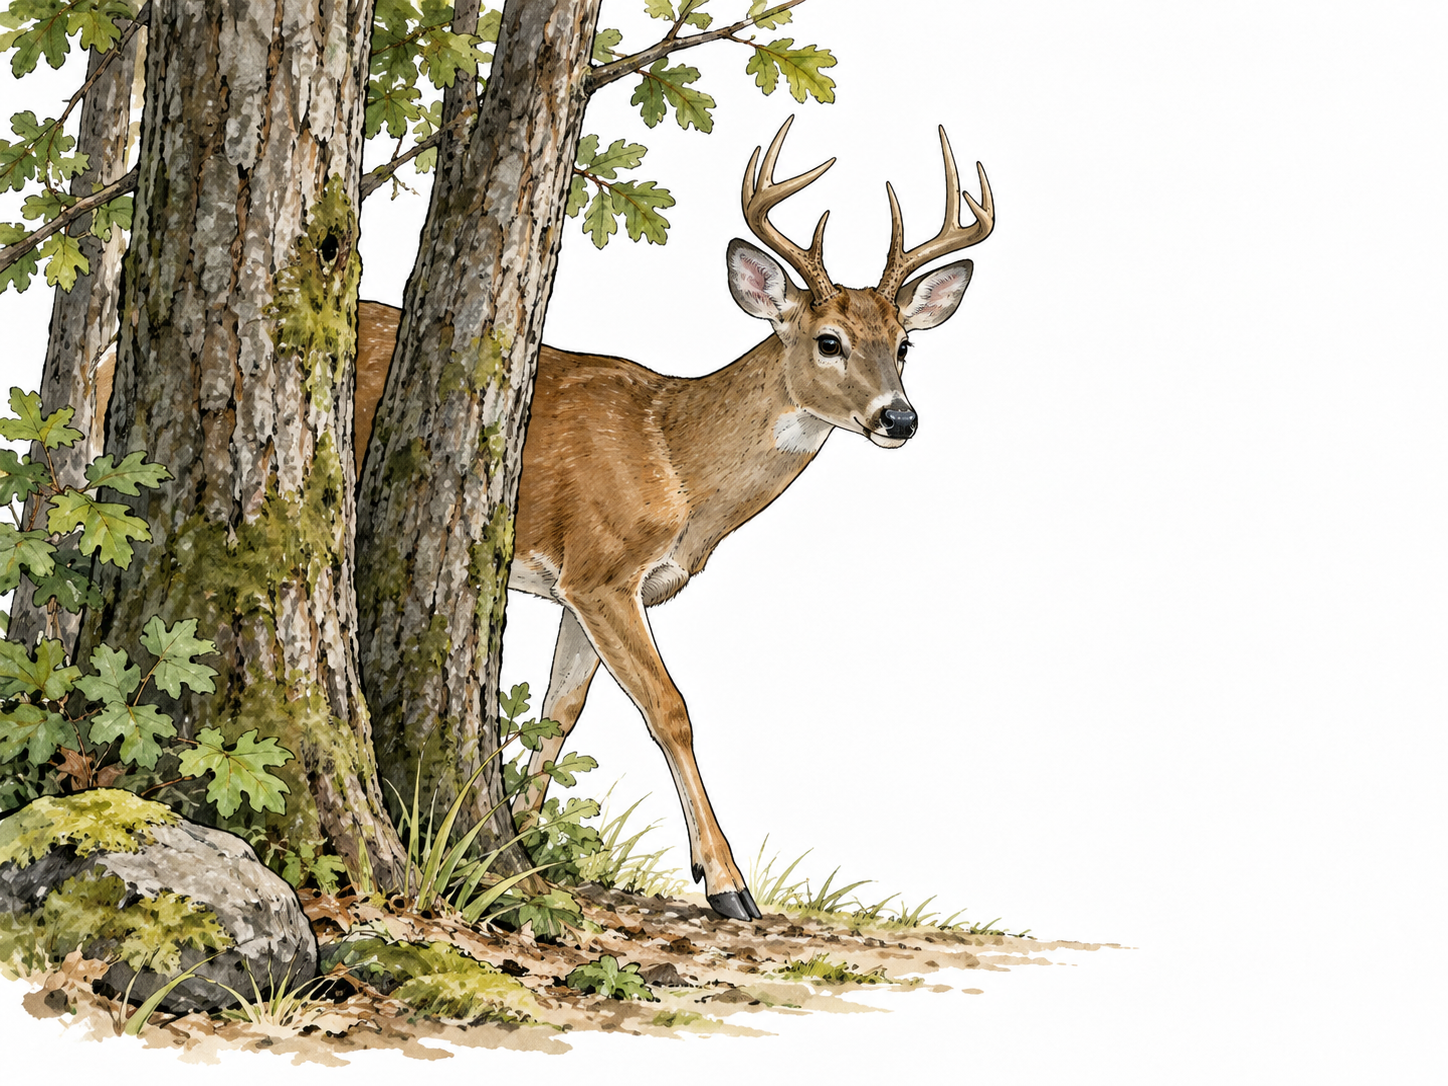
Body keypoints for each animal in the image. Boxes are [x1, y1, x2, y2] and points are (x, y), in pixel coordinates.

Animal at [93, 117, 993, 921]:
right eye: (829, 340)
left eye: (905, 345)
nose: (900, 418)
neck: (675, 459)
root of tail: (111, 354)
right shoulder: (601, 569)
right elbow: (670, 710)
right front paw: (728, 885)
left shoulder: (580, 592)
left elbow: (558, 718)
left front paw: (515, 855)